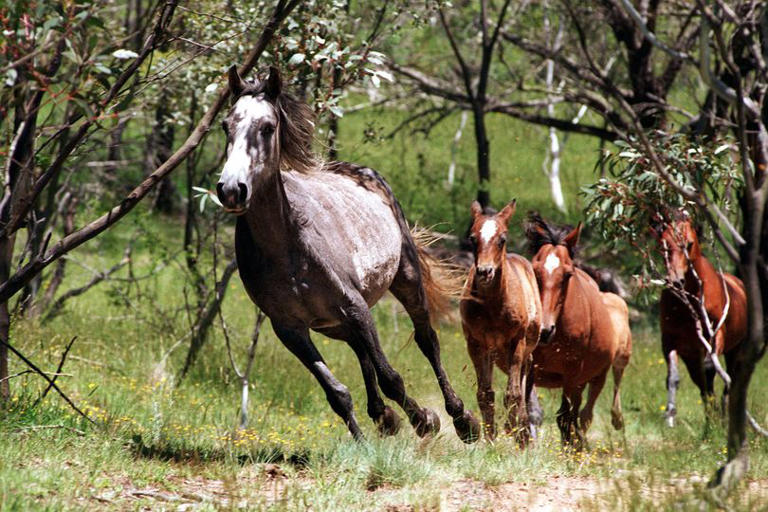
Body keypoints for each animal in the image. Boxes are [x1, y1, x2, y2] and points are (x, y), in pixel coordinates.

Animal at [215, 65, 480, 443]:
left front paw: (425, 420)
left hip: (405, 281)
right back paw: (384, 417)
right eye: (226, 125)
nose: (231, 190)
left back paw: (461, 418)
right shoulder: (290, 329)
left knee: (426, 341)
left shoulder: (354, 308)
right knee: (362, 353)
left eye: (266, 127)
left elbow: (391, 377)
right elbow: (337, 393)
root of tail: (366, 173)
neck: (288, 247)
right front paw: (367, 439)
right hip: (334, 325)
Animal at [460, 200, 542, 443]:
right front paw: (490, 440)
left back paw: (522, 431)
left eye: (502, 239)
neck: (493, 307)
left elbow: (513, 394)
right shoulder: (476, 344)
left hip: (521, 350)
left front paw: (515, 432)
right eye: (472, 238)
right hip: (495, 353)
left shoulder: (516, 342)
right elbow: (485, 394)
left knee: (522, 384)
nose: (485, 271)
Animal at [526, 214, 630, 448]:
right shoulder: (528, 364)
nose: (544, 330)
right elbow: (529, 409)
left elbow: (565, 416)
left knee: (586, 412)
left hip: (601, 373)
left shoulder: (572, 373)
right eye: (535, 269)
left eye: (567, 275)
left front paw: (571, 447)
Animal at [651, 214, 747, 427]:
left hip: (735, 351)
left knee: (729, 379)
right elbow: (673, 378)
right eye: (663, 244)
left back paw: (723, 413)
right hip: (691, 357)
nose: (675, 281)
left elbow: (710, 369)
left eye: (689, 243)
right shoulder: (669, 340)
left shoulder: (716, 333)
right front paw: (670, 415)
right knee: (702, 384)